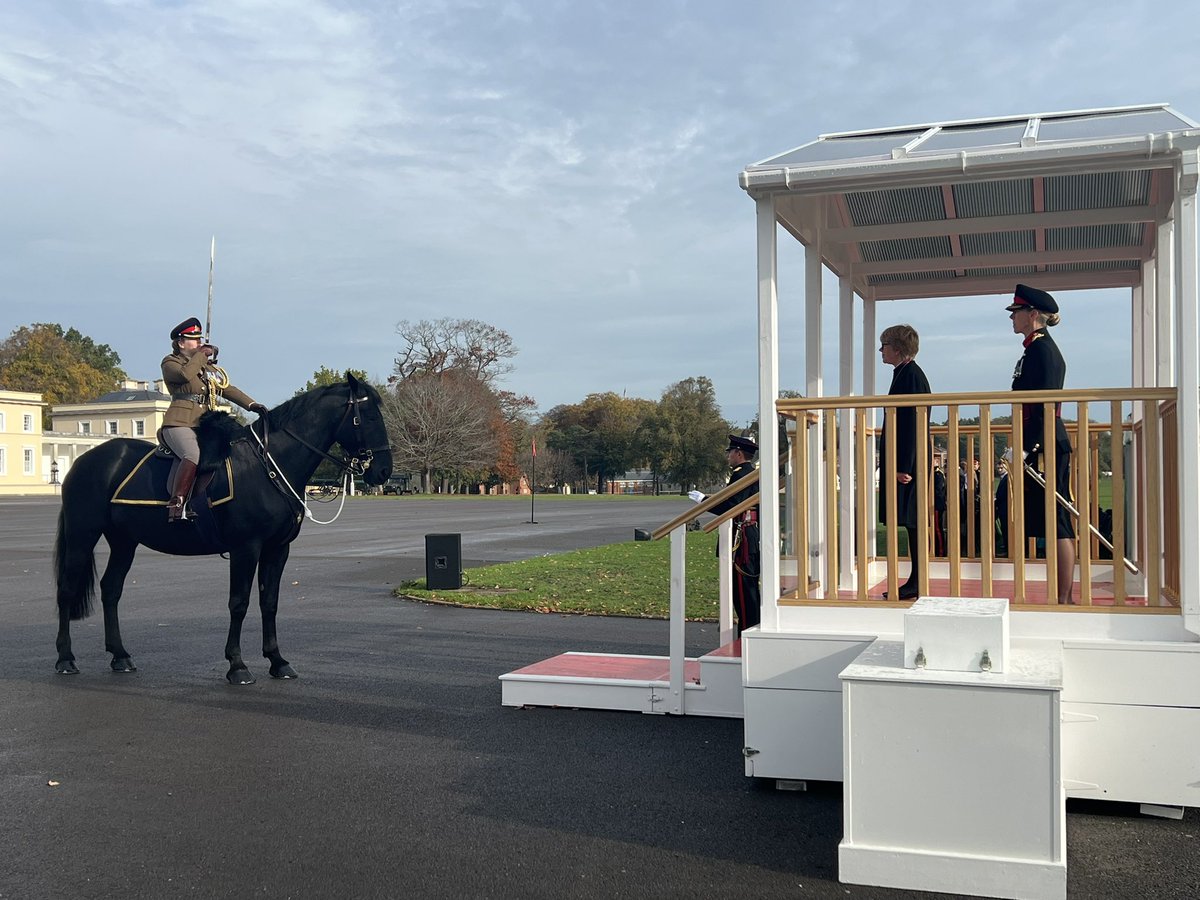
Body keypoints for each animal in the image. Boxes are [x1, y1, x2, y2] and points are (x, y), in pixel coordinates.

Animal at [54, 374, 391, 681]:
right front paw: (237, 665)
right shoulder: (246, 548)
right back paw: (65, 658)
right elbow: (239, 603)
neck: (268, 465)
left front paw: (277, 660)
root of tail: (85, 460)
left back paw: (120, 655)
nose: (383, 471)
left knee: (111, 589)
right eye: (370, 415)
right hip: (82, 535)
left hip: (124, 541)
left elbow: (269, 602)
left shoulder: (277, 549)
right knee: (67, 590)